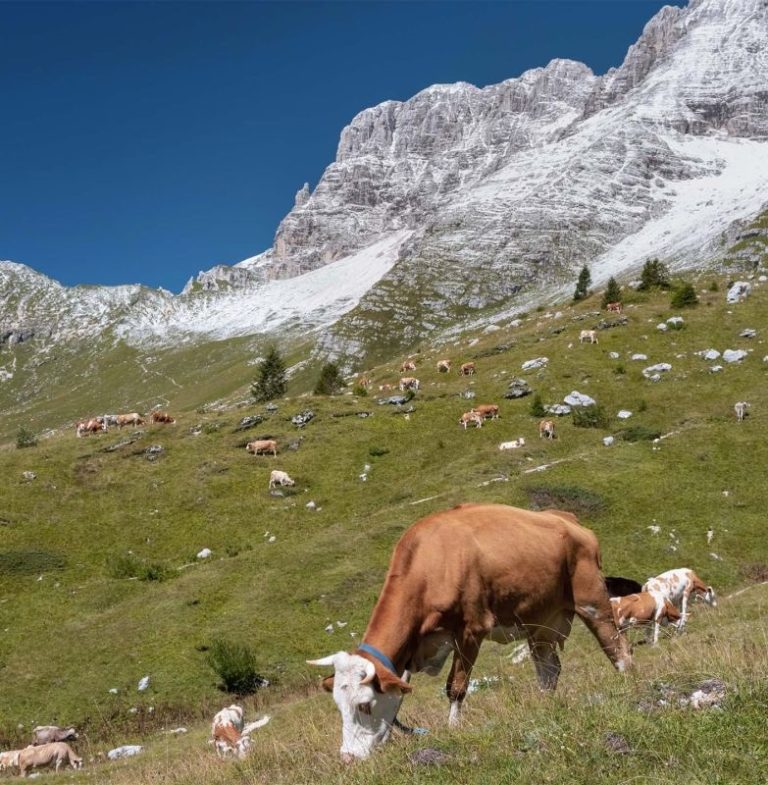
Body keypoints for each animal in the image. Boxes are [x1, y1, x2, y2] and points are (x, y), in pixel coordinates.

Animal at [308, 502, 632, 760]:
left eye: (364, 706)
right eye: (338, 705)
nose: (348, 757)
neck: (432, 562)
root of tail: (567, 518)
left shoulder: (471, 630)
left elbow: (456, 687)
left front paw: (453, 731)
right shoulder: (413, 648)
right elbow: (398, 692)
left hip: (592, 600)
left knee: (617, 647)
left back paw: (628, 684)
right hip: (540, 622)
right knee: (549, 670)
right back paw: (544, 706)